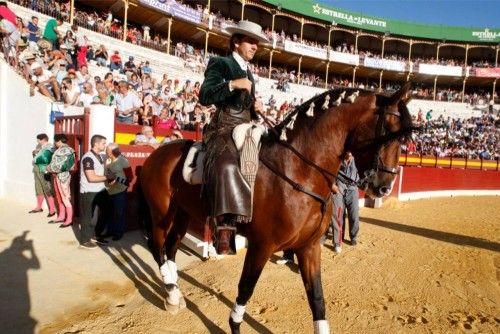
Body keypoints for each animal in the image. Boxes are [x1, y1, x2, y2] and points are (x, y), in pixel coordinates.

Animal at [140, 82, 414, 332]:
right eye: (390, 132)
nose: (384, 187)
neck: (298, 169)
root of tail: (157, 153)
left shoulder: (309, 247)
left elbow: (317, 298)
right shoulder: (262, 245)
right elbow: (246, 288)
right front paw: (234, 324)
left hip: (182, 214)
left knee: (171, 248)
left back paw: (175, 294)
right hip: (161, 214)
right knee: (158, 248)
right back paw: (171, 295)